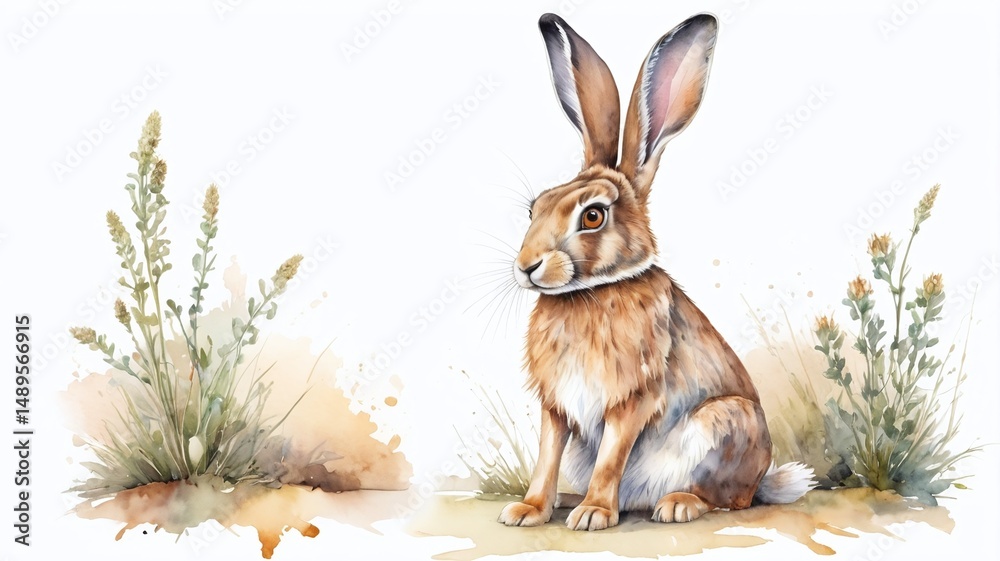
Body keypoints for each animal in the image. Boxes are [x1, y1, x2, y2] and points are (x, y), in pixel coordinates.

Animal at [497, 13, 816, 531]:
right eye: (535, 207)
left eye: (593, 216)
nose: (527, 267)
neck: (592, 292)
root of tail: (764, 478)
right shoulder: (555, 405)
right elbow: (545, 457)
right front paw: (528, 510)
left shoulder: (632, 399)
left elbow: (611, 456)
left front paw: (593, 515)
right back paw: (571, 498)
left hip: (727, 422)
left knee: (729, 499)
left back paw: (677, 505)